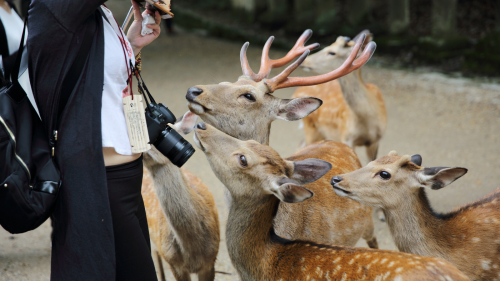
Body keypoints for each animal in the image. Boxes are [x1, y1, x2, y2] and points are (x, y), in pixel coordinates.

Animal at [292, 29, 386, 161]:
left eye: (332, 52)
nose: (305, 60)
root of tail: (296, 91)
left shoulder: (376, 140)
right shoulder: (346, 136)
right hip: (311, 127)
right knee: (301, 144)